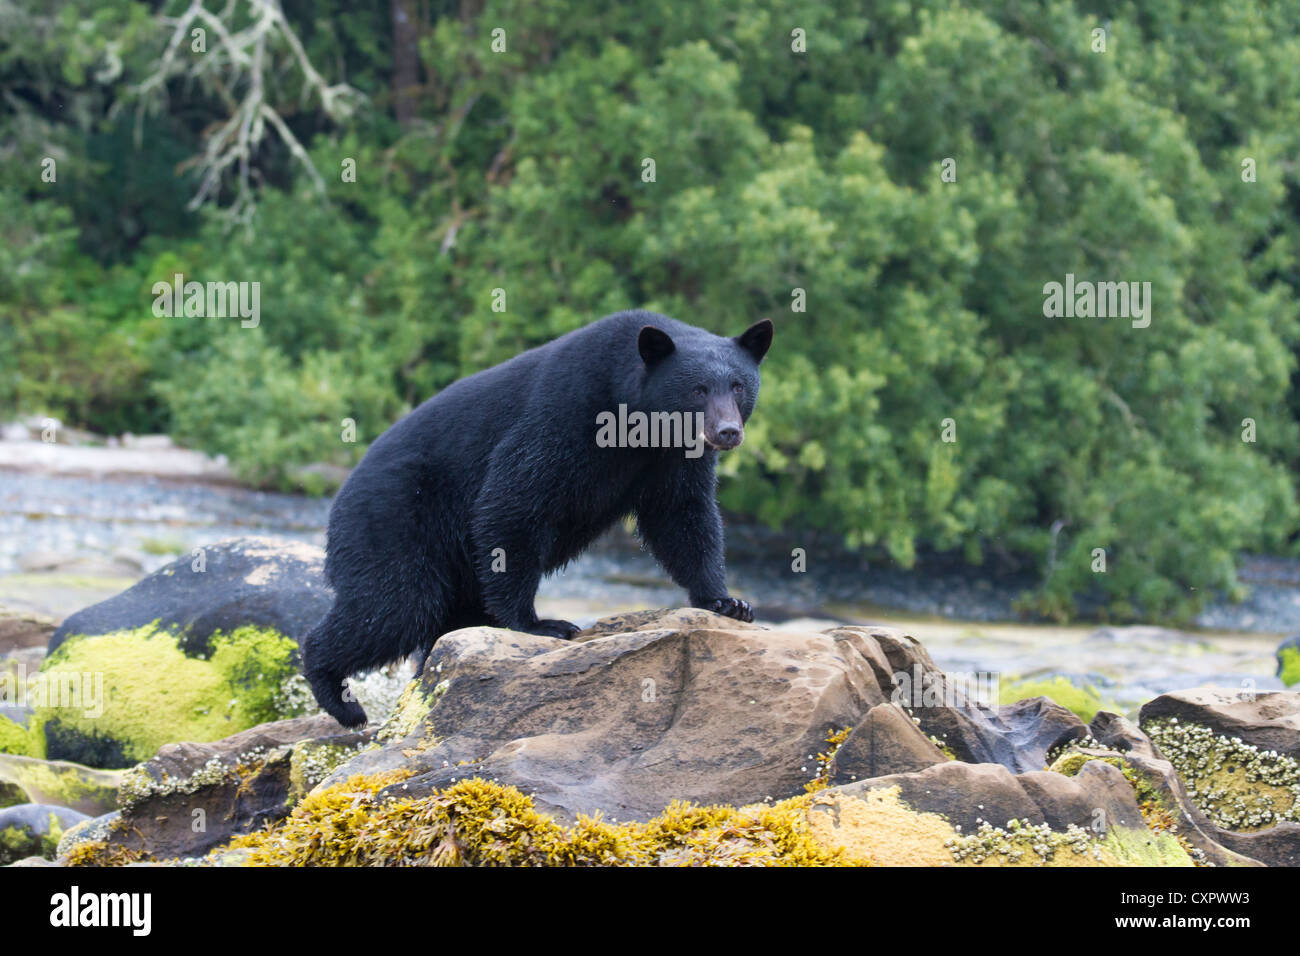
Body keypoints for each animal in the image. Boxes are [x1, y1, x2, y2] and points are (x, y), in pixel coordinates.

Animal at [301, 312, 769, 723]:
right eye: (698, 389)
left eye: (738, 385)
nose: (727, 432)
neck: (636, 420)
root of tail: (340, 498)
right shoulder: (565, 414)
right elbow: (514, 502)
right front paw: (539, 624)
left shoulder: (669, 459)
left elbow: (682, 517)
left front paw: (726, 601)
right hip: (394, 517)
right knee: (395, 603)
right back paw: (339, 696)